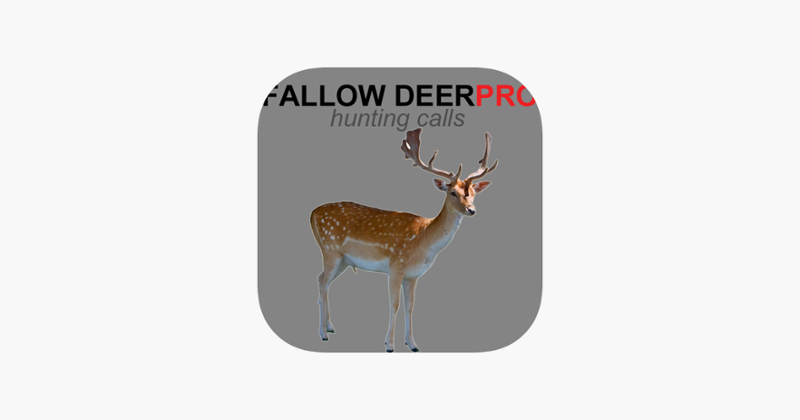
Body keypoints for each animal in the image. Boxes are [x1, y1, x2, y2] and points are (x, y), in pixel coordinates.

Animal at [309, 127, 498, 352]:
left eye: (473, 194)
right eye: (453, 192)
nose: (471, 210)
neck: (423, 241)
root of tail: (312, 213)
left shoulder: (413, 275)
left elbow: (410, 306)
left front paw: (413, 344)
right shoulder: (395, 267)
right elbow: (394, 305)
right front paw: (389, 345)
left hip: (344, 261)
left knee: (322, 279)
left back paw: (329, 327)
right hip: (330, 250)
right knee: (322, 282)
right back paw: (322, 333)